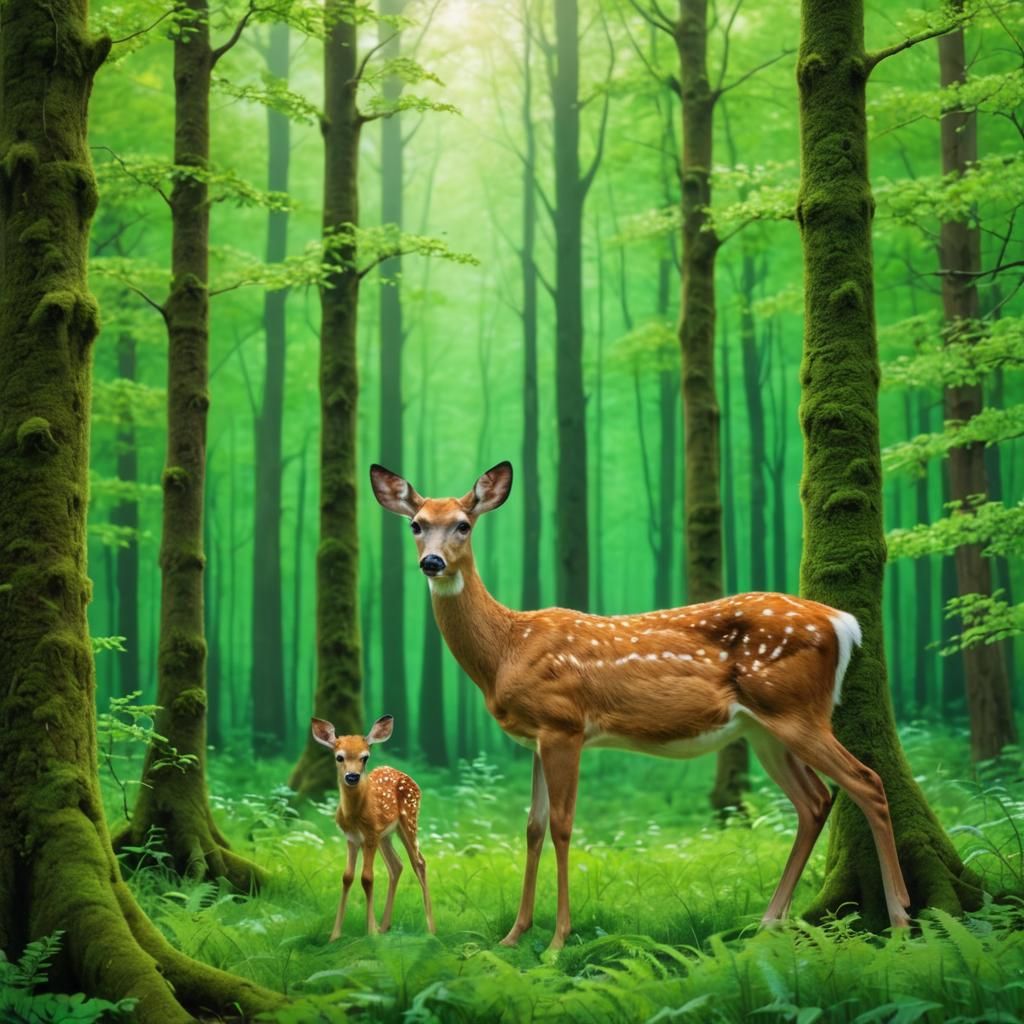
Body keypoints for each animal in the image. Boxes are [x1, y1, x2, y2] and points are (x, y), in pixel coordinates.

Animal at [312, 714, 435, 939]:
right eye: (339, 757)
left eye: (365, 757)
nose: (352, 777)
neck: (355, 815)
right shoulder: (352, 838)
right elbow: (347, 877)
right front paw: (335, 935)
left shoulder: (370, 835)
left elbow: (367, 878)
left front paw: (370, 933)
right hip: (385, 835)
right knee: (397, 865)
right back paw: (385, 926)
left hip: (408, 819)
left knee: (419, 862)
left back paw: (431, 930)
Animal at [369, 460, 912, 953]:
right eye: (417, 524)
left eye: (463, 524)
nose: (432, 562)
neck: (506, 649)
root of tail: (844, 623)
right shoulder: (536, 737)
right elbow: (532, 828)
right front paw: (513, 936)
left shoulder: (564, 724)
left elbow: (563, 826)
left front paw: (557, 941)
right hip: (764, 729)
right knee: (815, 800)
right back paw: (768, 923)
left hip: (797, 711)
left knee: (867, 782)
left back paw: (901, 921)